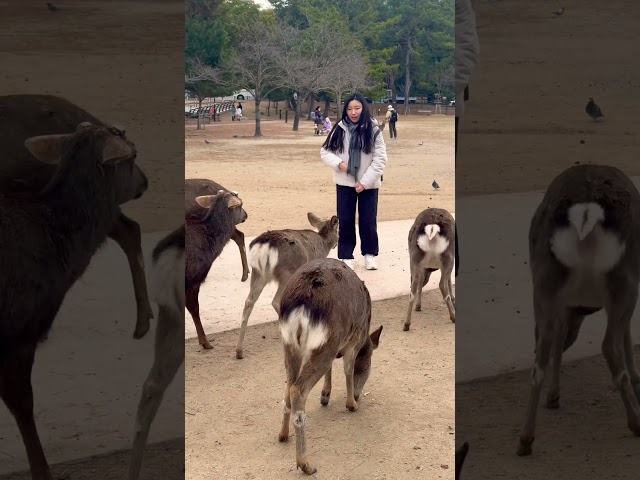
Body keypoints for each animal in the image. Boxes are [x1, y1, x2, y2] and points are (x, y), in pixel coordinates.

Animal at [236, 212, 339, 359]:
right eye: (338, 230)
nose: (336, 243)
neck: (323, 244)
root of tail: (264, 247)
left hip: (257, 273)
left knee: (249, 302)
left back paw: (239, 351)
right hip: (286, 272)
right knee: (275, 301)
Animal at [277, 258, 383, 475]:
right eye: (367, 367)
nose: (358, 396)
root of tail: (302, 301)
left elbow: (331, 369)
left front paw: (325, 395)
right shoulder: (354, 340)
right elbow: (348, 369)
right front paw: (351, 404)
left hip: (290, 344)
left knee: (288, 385)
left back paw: (283, 434)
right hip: (326, 341)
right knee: (298, 389)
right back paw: (305, 464)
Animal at [517, 164, 640, 456]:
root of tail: (585, 213)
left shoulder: (563, 305)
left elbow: (558, 337)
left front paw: (554, 395)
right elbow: (627, 336)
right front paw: (637, 377)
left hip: (544, 282)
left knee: (541, 350)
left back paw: (525, 439)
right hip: (624, 280)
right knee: (609, 345)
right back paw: (636, 422)